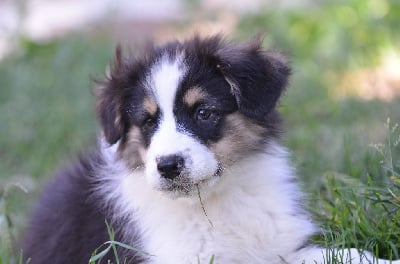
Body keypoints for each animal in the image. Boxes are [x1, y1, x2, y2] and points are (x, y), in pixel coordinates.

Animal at [22, 35, 400, 264]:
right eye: (147, 122)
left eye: (203, 113)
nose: (168, 165)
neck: (214, 201)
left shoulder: (276, 247)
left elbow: (349, 253)